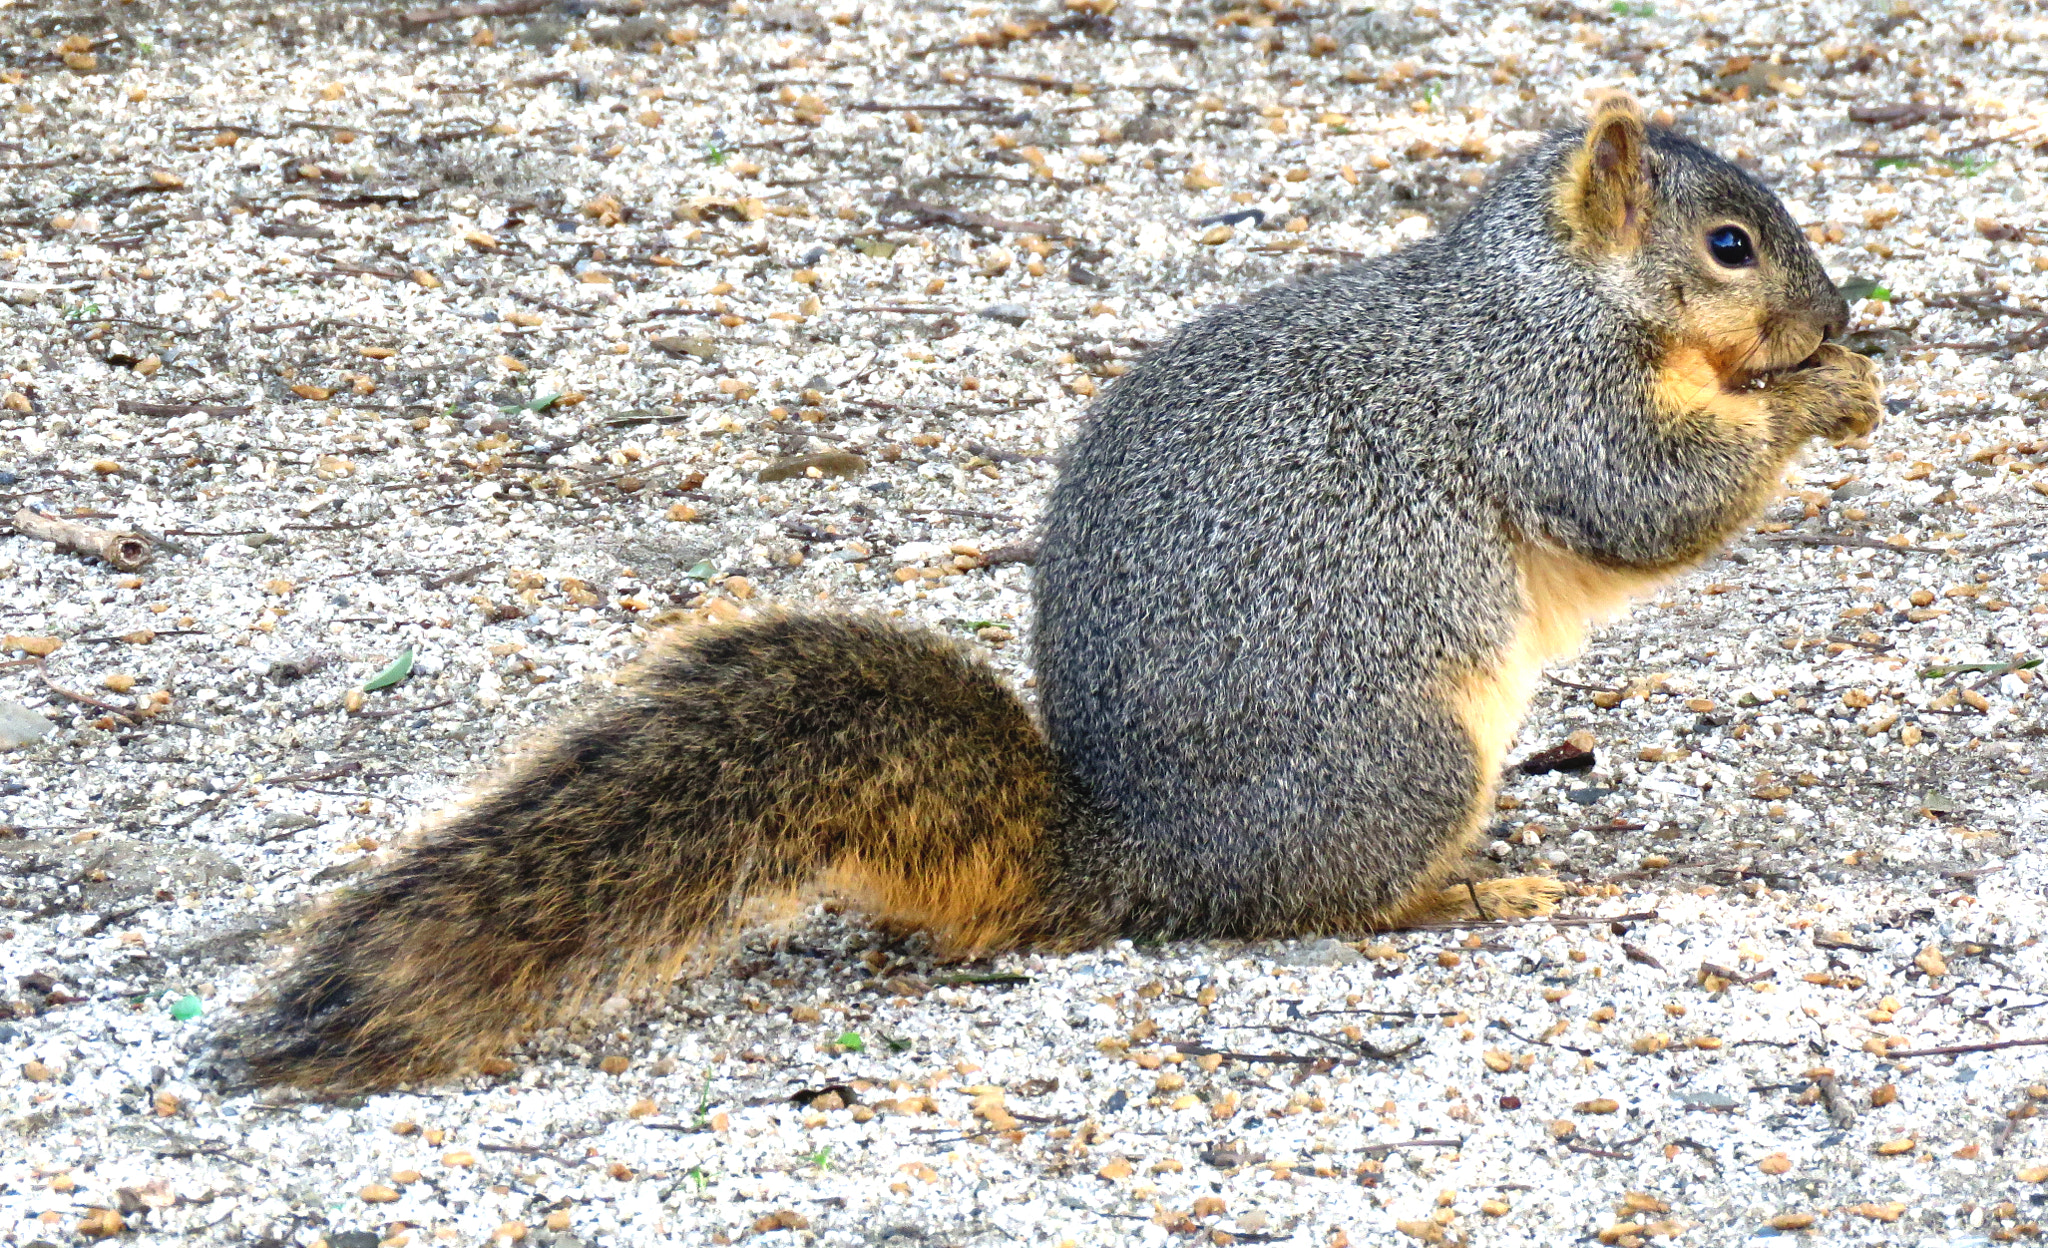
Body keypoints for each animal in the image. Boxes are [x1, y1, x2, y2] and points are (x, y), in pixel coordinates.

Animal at [235, 99, 1875, 1090]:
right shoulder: (1542, 398)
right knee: (1318, 911)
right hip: (1400, 757)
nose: (1839, 316)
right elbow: (1643, 496)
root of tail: (1137, 858)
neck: (1553, 289)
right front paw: (1815, 401)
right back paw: (1469, 890)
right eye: (1729, 245)